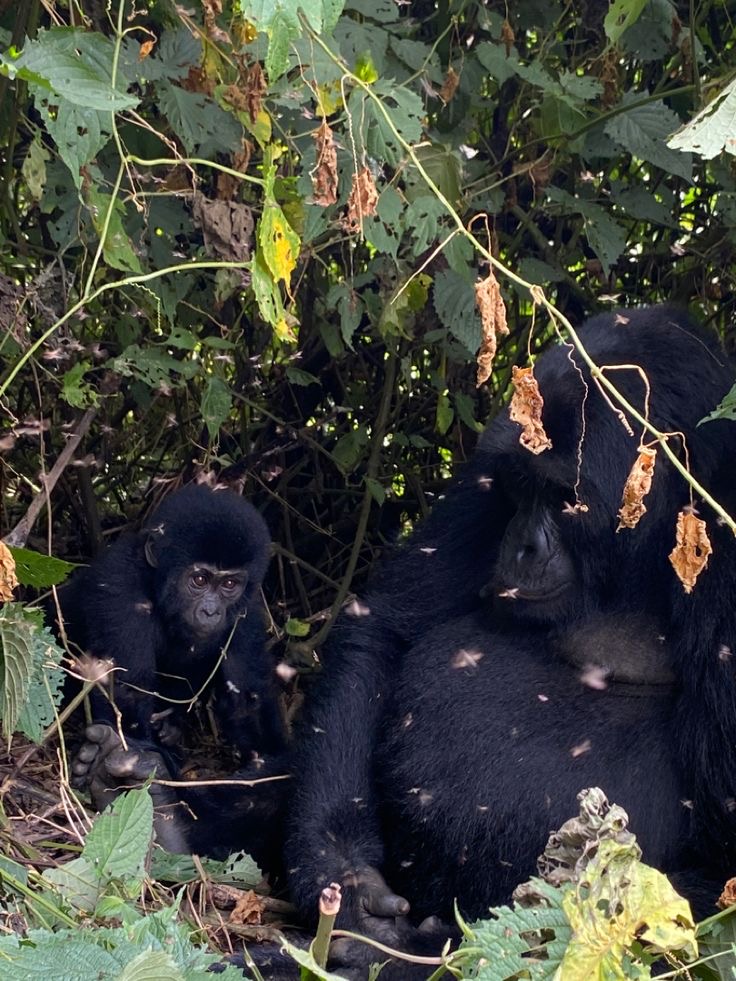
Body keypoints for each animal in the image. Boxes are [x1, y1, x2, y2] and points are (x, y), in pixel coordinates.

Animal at [284, 304, 736, 972]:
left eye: (566, 498)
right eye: (519, 489)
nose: (520, 545)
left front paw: (414, 951)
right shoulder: (489, 468)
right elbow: (386, 629)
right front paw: (344, 875)